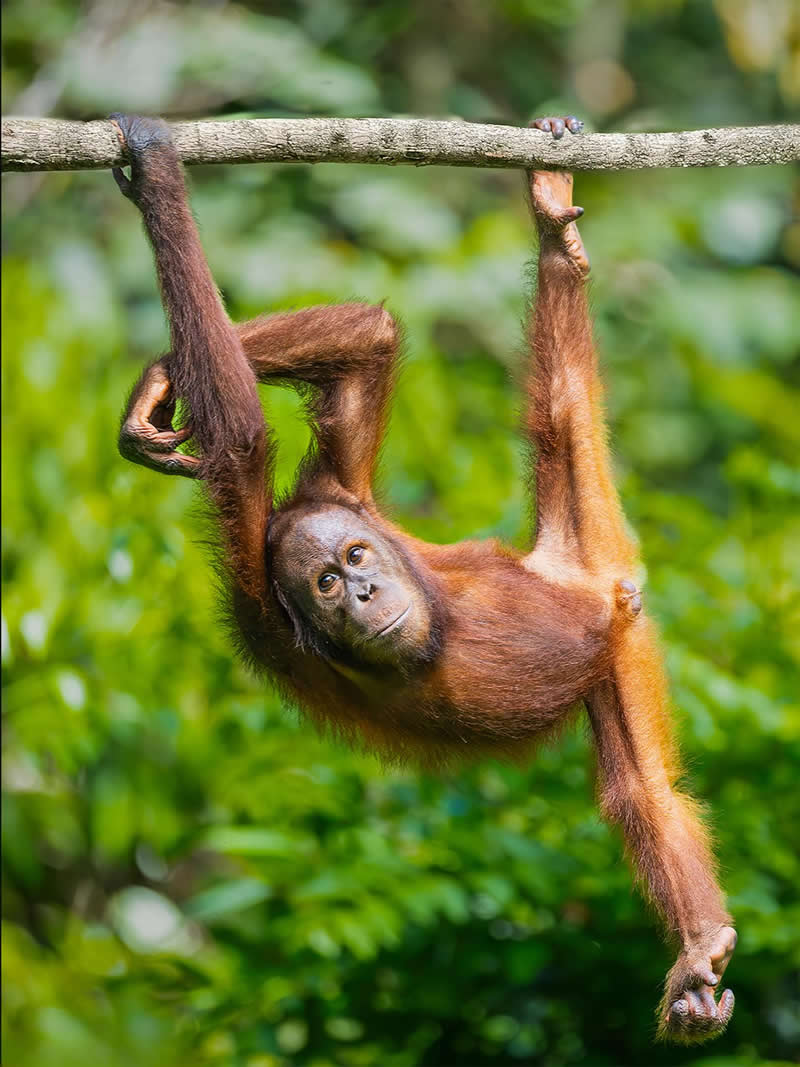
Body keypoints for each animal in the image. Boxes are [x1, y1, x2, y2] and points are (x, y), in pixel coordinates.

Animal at [109, 113, 736, 1043]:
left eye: (356, 558)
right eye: (325, 586)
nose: (364, 592)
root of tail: (575, 572)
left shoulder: (336, 496)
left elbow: (354, 353)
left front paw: (154, 368)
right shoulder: (263, 601)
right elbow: (248, 438)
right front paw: (158, 177)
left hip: (604, 615)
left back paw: (554, 232)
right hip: (614, 646)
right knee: (641, 791)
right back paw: (699, 949)